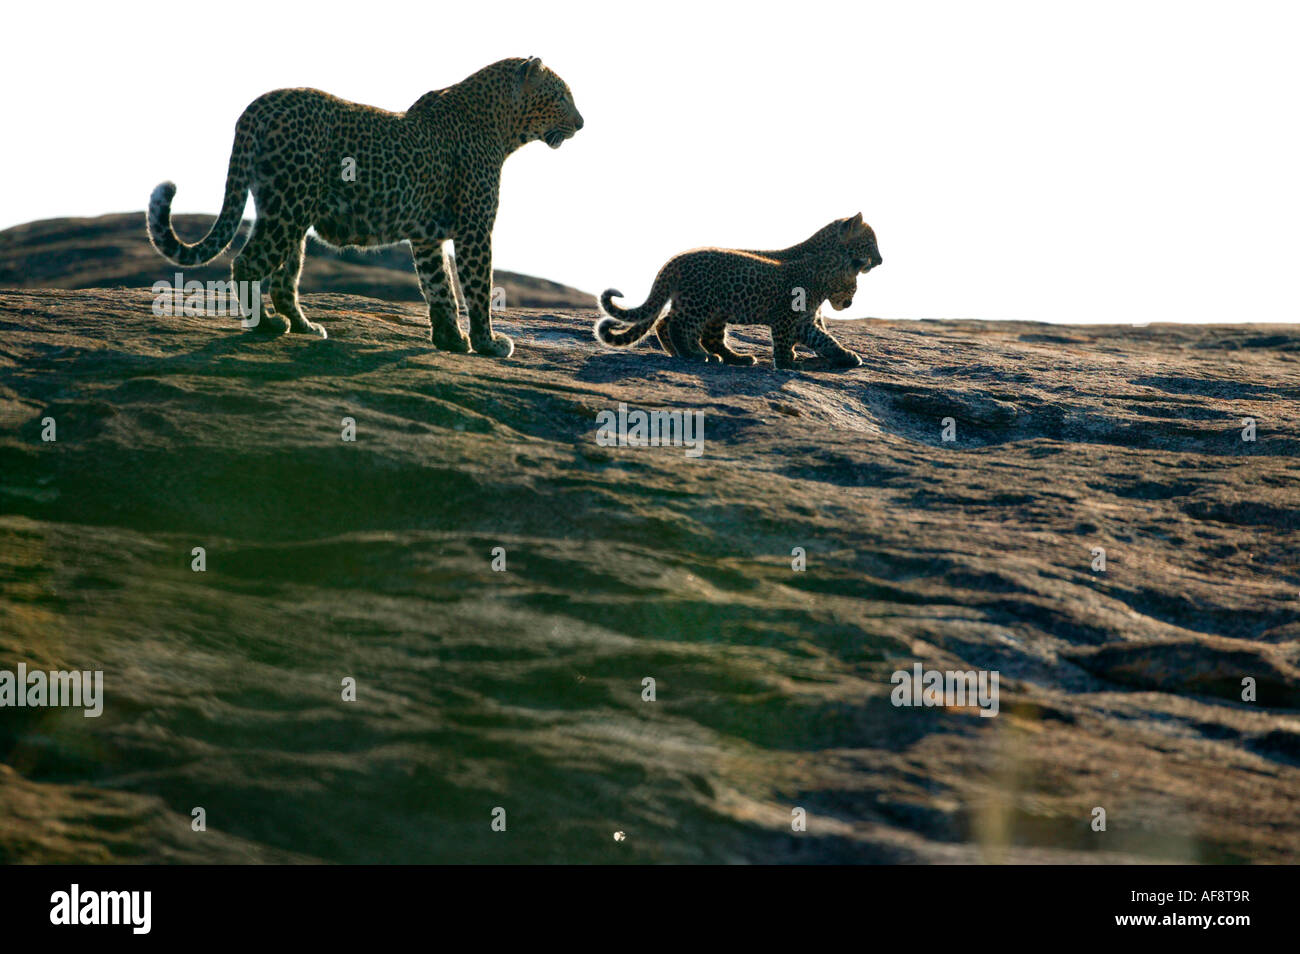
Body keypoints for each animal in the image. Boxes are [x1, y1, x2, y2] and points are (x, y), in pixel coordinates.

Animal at [147, 57, 583, 357]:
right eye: (561, 95)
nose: (581, 123)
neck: (504, 127)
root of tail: (259, 105)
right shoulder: (475, 229)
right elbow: (477, 287)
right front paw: (488, 343)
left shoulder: (426, 238)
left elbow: (438, 286)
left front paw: (450, 339)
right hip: (289, 207)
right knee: (248, 263)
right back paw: (267, 325)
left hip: (287, 210)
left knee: (284, 279)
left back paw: (305, 326)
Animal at [595, 216, 878, 370]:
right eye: (870, 243)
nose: (881, 260)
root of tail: (674, 261)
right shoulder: (787, 317)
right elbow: (791, 340)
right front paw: (788, 362)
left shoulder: (805, 320)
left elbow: (824, 337)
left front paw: (845, 355)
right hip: (701, 303)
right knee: (679, 326)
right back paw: (695, 354)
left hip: (708, 308)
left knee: (679, 326)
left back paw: (728, 357)